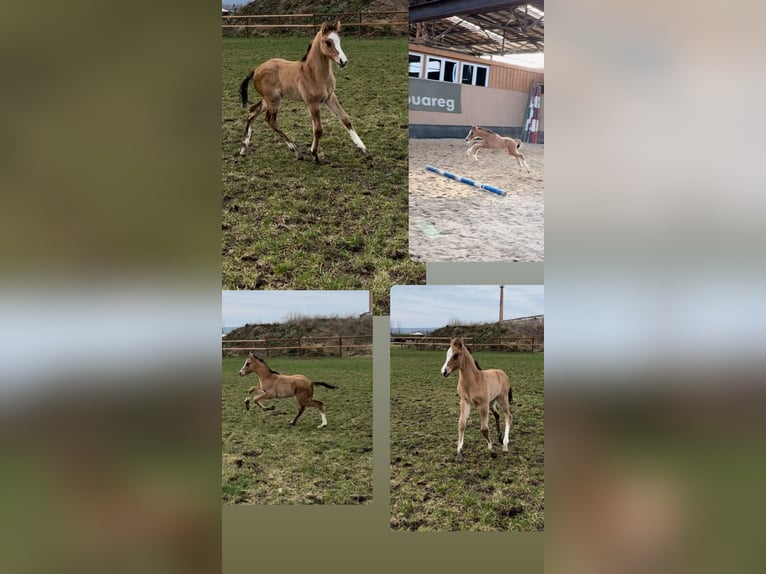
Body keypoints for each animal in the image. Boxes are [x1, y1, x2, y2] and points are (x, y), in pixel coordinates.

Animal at [242, 20, 370, 163]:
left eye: (339, 40)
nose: (343, 61)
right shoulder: (312, 103)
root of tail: (256, 70)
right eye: (328, 42)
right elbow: (318, 129)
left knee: (253, 111)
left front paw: (364, 149)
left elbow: (345, 119)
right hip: (274, 100)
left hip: (268, 100)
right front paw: (314, 154)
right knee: (270, 120)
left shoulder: (330, 98)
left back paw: (244, 148)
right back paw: (295, 150)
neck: (314, 74)